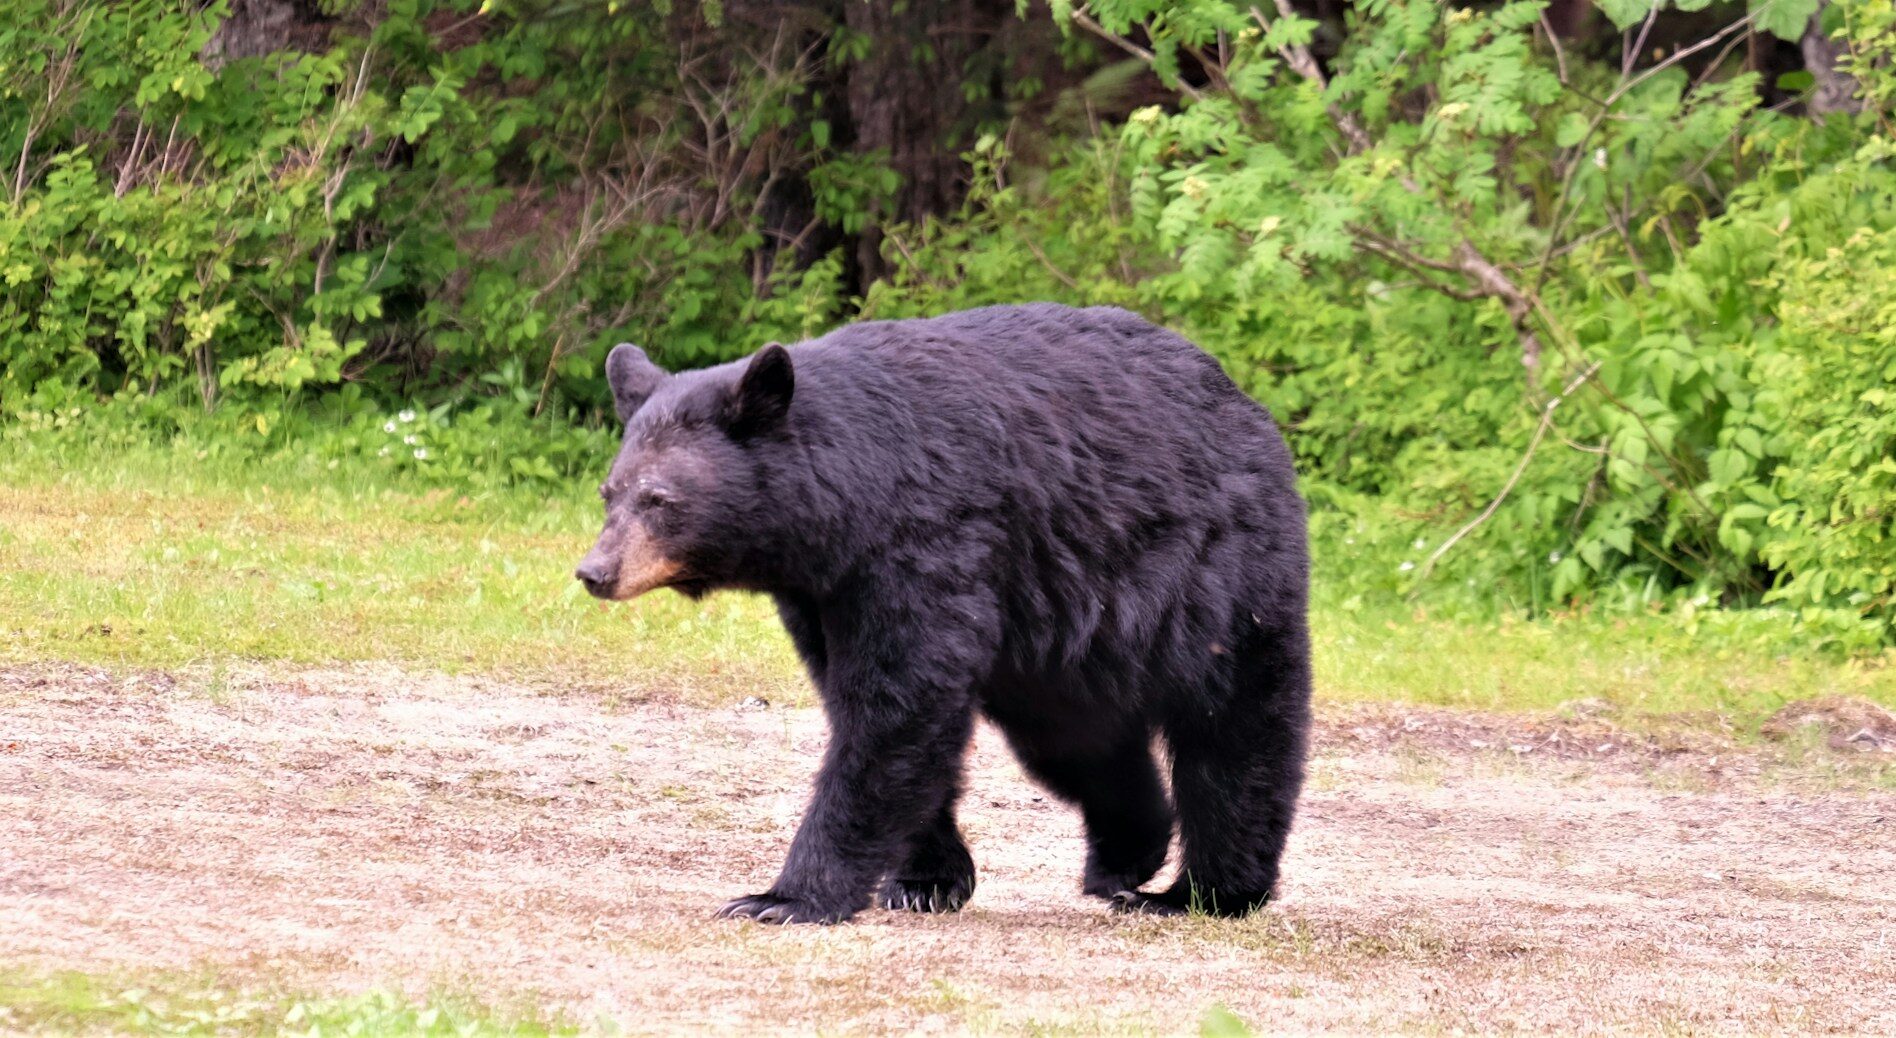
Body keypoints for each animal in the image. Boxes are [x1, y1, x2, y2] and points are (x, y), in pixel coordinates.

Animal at [575, 303, 1310, 923]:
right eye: (610, 491)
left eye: (660, 499)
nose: (595, 571)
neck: (848, 503)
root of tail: (1246, 404)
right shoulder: (824, 592)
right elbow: (870, 706)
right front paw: (926, 881)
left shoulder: (926, 541)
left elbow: (899, 704)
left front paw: (782, 897)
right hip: (1058, 639)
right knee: (1077, 738)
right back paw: (1125, 856)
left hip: (1216, 573)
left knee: (1235, 725)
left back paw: (1205, 891)